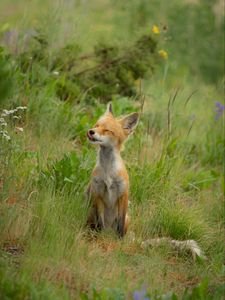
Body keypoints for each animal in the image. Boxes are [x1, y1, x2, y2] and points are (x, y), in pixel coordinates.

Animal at [86, 102, 139, 238]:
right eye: (97, 125)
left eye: (107, 130)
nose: (90, 131)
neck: (108, 172)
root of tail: (109, 231)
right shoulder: (97, 192)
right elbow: (100, 222)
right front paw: (99, 237)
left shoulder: (123, 193)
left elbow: (120, 225)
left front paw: (120, 240)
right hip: (90, 213)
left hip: (128, 218)